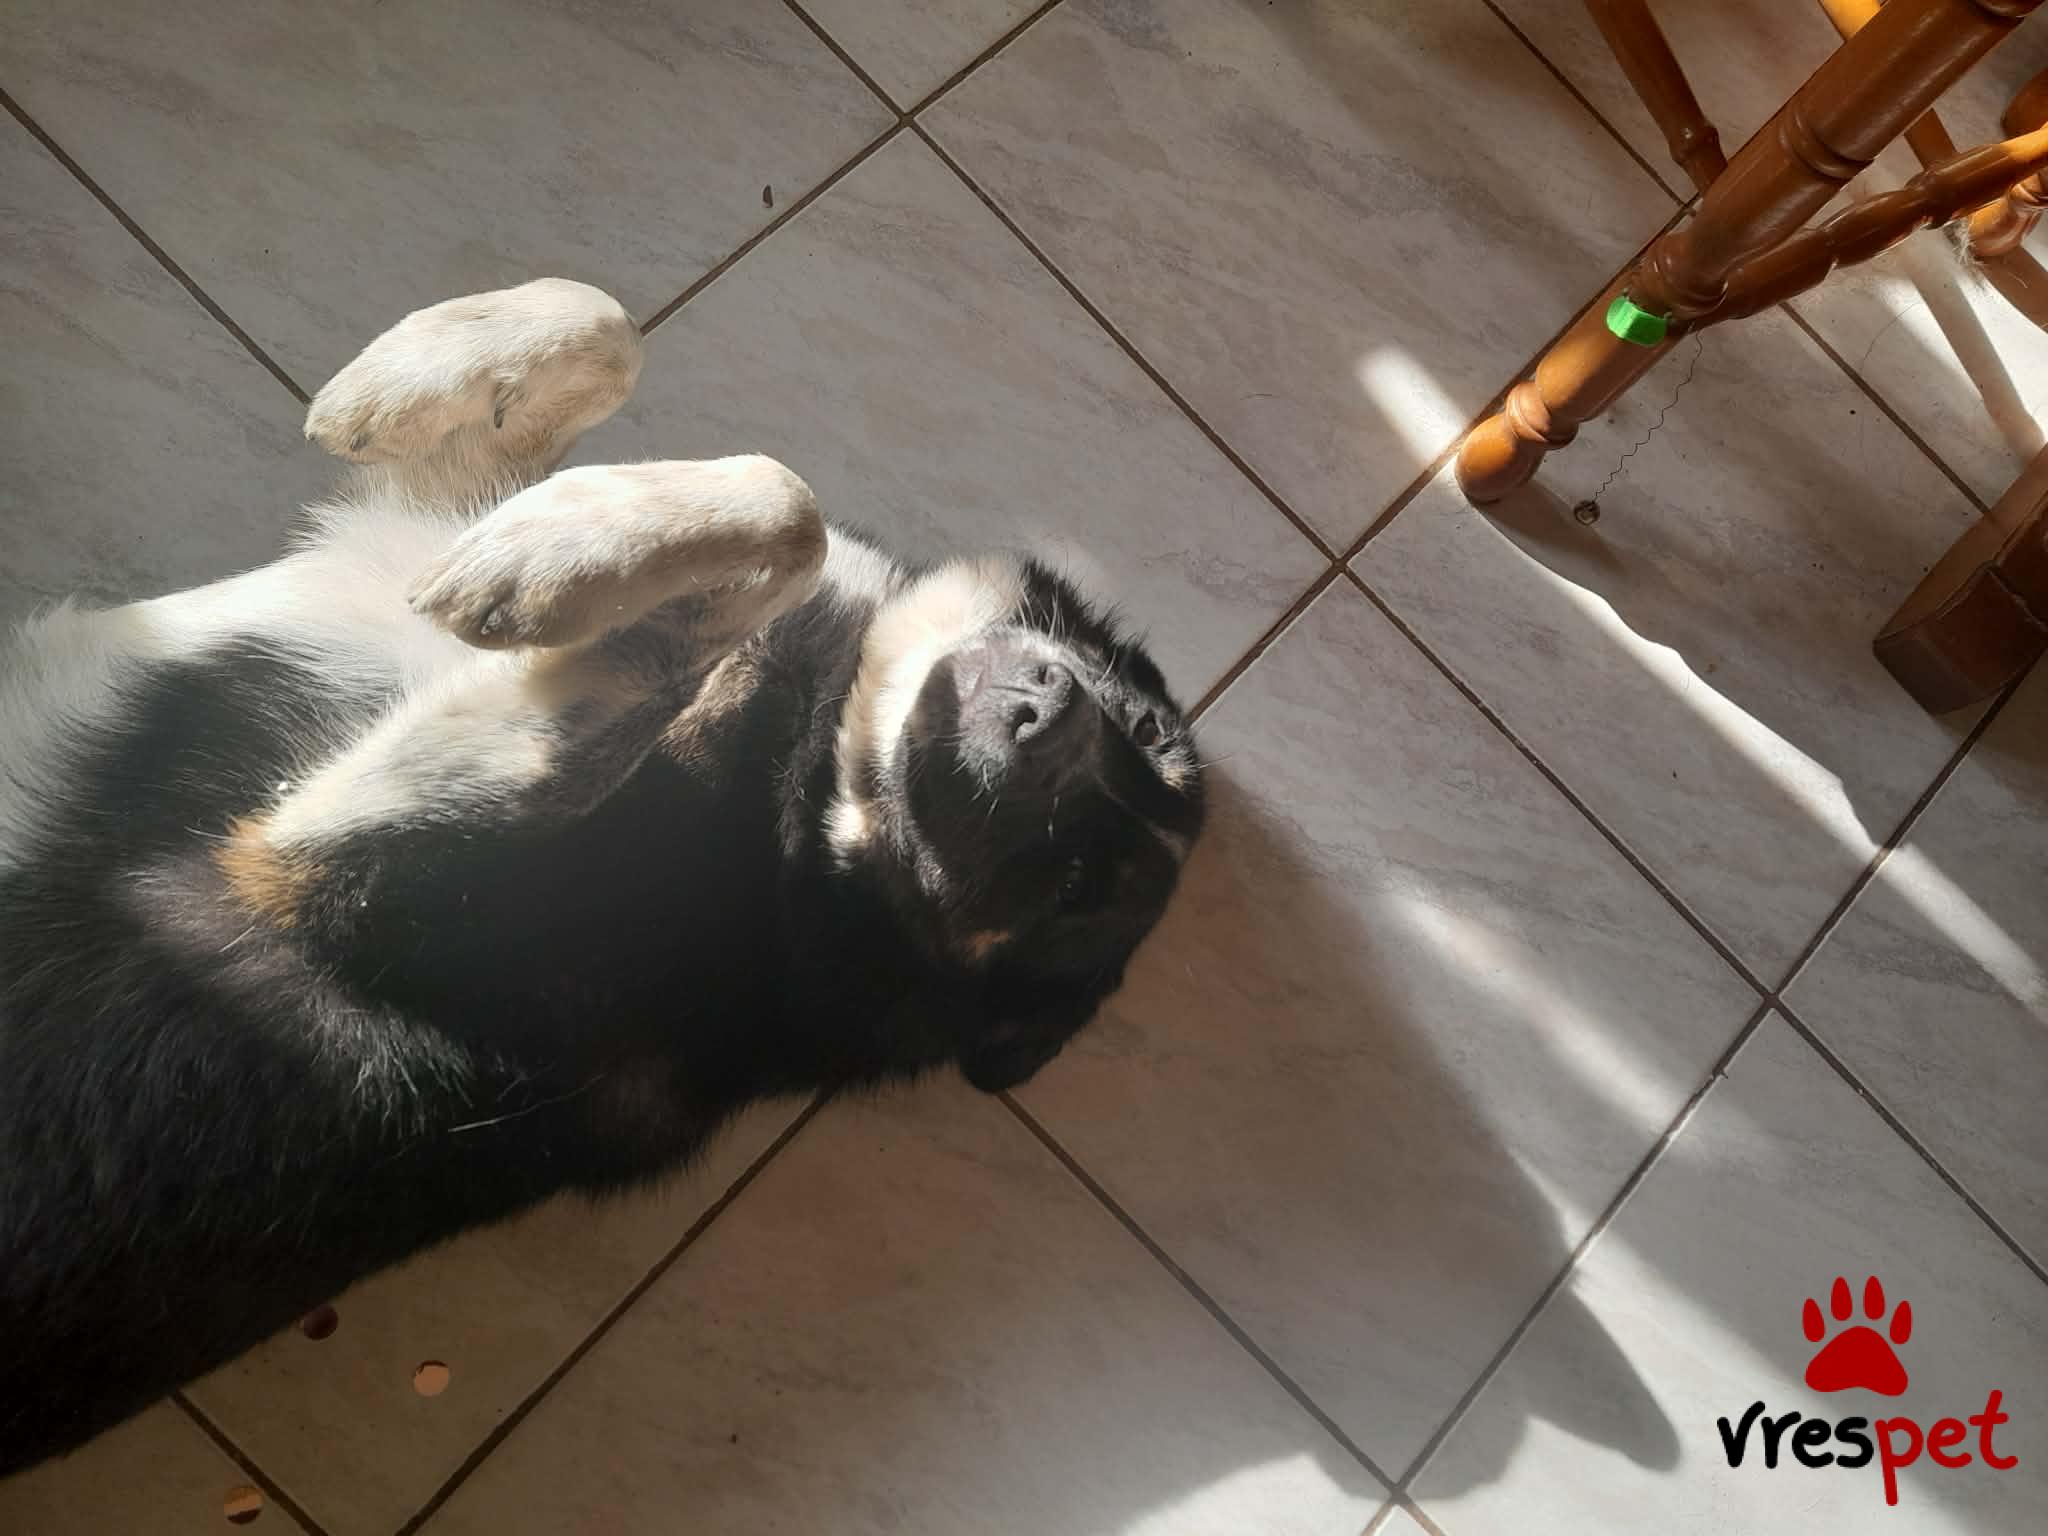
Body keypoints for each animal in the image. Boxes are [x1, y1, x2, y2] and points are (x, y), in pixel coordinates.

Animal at [0, 280, 1204, 1476]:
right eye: (1146, 732)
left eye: (1075, 885)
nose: (1046, 713)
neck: (816, 806)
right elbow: (609, 328)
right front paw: (419, 380)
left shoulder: (300, 867)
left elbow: (791, 508)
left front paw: (547, 560)